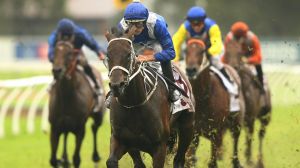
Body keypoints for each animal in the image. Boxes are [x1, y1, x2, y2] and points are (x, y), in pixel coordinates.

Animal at [48, 37, 105, 168]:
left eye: (69, 53)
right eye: (55, 51)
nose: (57, 70)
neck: (67, 96)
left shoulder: (80, 128)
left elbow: (76, 159)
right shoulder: (55, 127)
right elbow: (53, 160)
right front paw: (61, 160)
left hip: (98, 116)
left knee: (94, 127)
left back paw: (95, 156)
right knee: (66, 134)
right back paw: (64, 159)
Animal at [105, 27, 195, 168]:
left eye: (128, 55)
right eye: (108, 55)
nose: (116, 85)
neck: (134, 104)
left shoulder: (159, 146)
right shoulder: (121, 139)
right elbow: (112, 161)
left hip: (187, 126)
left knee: (179, 159)